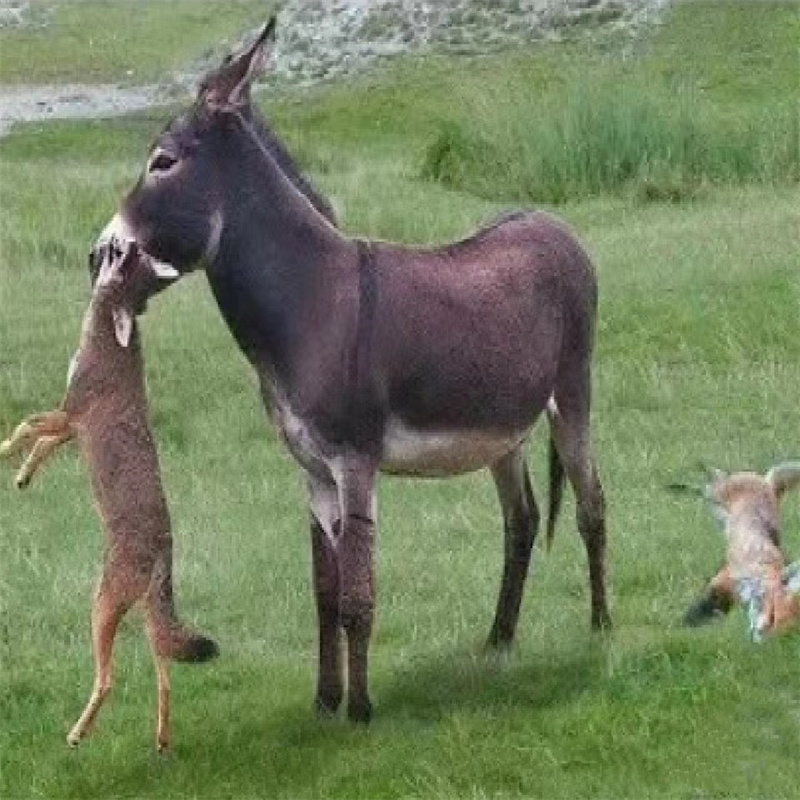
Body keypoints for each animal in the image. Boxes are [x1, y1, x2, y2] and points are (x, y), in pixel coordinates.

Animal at [0, 238, 217, 752]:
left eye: (122, 258)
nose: (124, 240)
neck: (107, 336)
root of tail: (163, 548)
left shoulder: (69, 415)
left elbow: (25, 427)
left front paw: (2, 453)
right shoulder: (70, 427)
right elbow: (39, 444)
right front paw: (22, 477)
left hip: (100, 610)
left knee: (108, 681)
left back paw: (77, 734)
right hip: (149, 625)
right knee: (165, 681)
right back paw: (160, 742)